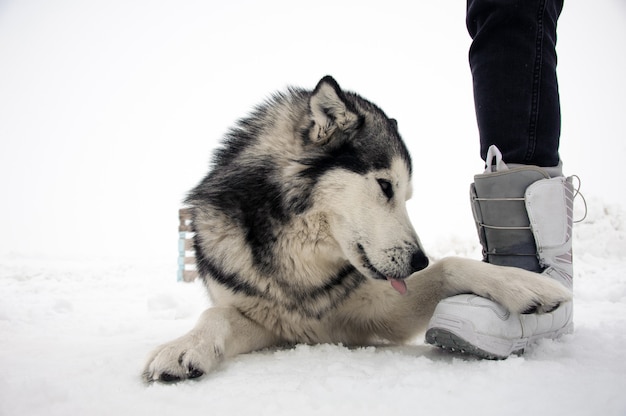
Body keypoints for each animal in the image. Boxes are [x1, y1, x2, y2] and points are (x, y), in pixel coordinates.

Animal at [143, 76, 572, 382]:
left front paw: (526, 284)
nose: (418, 261)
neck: (303, 266)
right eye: (385, 186)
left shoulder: (380, 312)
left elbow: (451, 264)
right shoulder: (269, 320)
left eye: (407, 194)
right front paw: (183, 348)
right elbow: (214, 314)